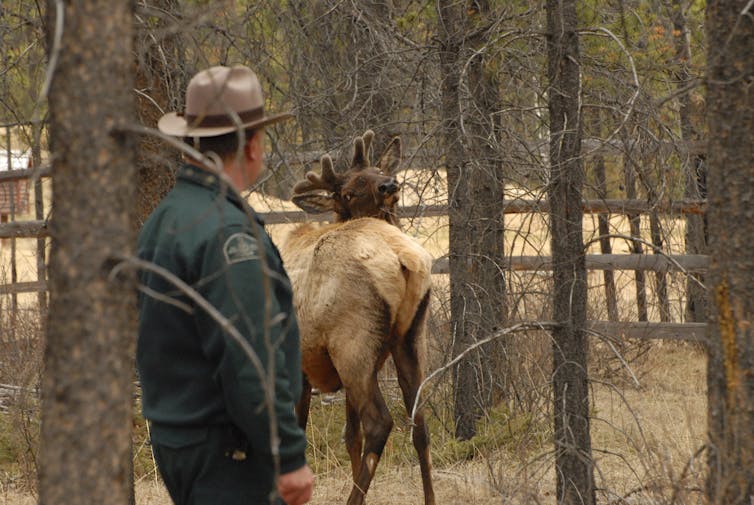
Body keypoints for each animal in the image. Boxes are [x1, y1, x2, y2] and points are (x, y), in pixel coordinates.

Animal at [280, 131, 434, 504]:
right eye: (348, 191)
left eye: (379, 171)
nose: (389, 184)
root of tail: (403, 257)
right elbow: (351, 436)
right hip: (408, 339)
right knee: (419, 422)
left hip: (352, 344)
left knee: (380, 423)